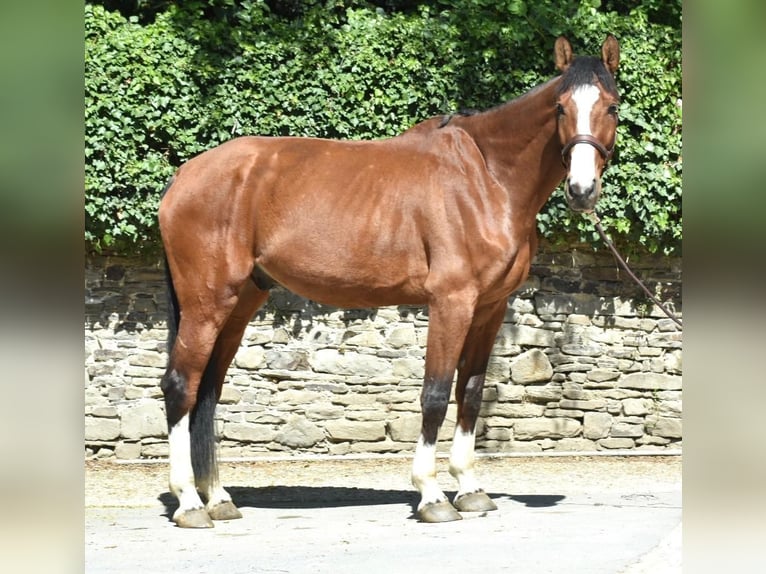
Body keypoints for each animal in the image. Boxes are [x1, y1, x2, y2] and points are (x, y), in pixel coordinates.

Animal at [158, 34, 621, 527]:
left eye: (611, 107)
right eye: (559, 107)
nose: (581, 191)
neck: (486, 178)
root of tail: (184, 174)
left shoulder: (489, 309)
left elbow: (471, 393)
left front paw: (470, 489)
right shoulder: (451, 303)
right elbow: (435, 393)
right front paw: (432, 496)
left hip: (241, 300)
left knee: (207, 390)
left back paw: (218, 498)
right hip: (206, 303)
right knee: (181, 386)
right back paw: (189, 503)